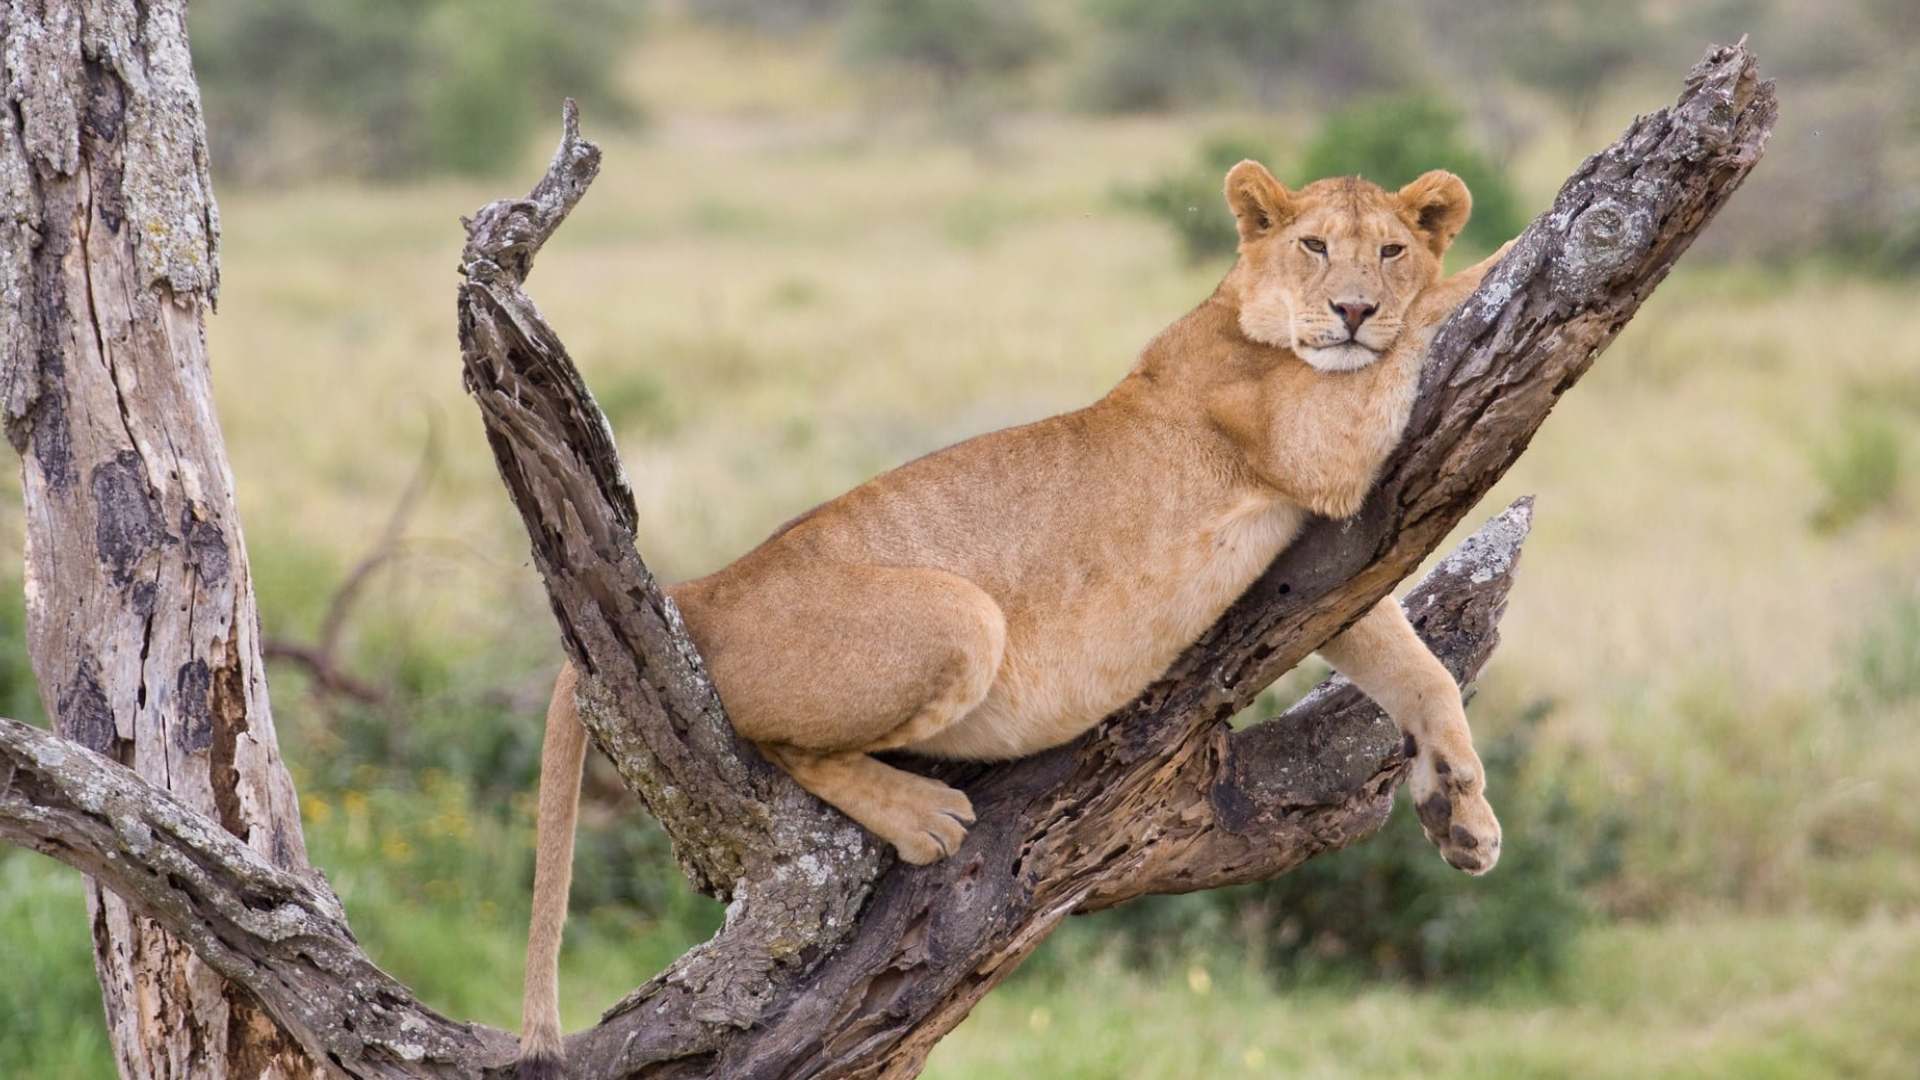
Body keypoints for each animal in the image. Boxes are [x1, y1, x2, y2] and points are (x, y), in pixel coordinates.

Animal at [517, 160, 1511, 1078]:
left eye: (1390, 250)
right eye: (1314, 247)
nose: (1353, 309)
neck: (1239, 315)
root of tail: (705, 584)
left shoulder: (1317, 559)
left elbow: (1415, 669)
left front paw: (1462, 814)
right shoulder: (1313, 439)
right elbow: (1440, 308)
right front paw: (1511, 252)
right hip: (962, 614)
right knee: (778, 741)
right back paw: (924, 816)